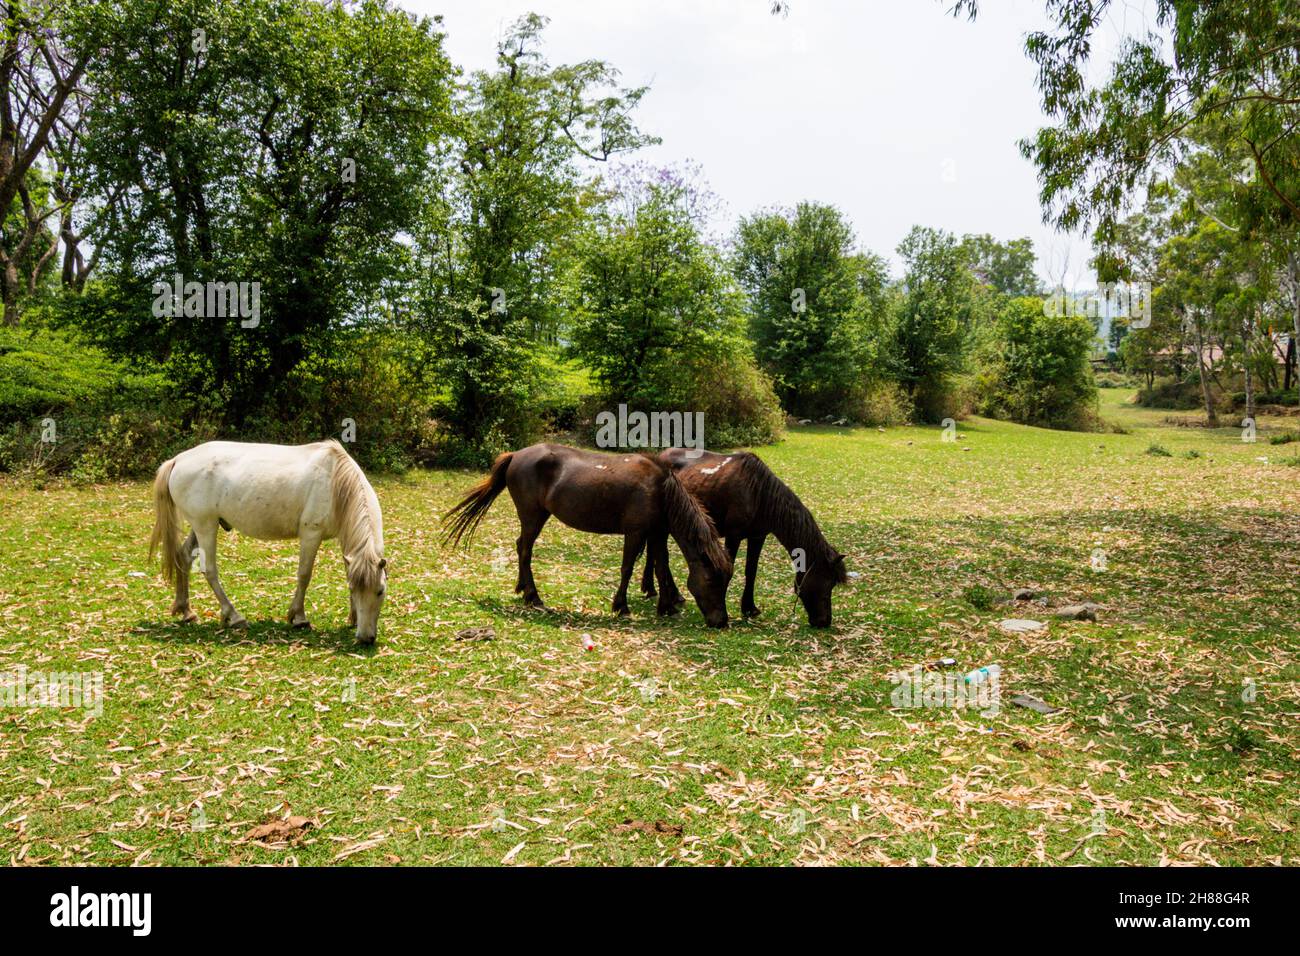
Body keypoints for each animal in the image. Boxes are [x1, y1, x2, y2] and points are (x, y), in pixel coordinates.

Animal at [148, 440, 387, 643]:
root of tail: (178, 460)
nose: (365, 638)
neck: (336, 481)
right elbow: (304, 575)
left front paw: (352, 617)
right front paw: (298, 617)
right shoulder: (311, 534)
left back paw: (186, 611)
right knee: (209, 570)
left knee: (183, 557)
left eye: (380, 591)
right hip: (205, 526)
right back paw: (234, 616)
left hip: (200, 527)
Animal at [442, 443, 734, 628]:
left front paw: (666, 607)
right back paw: (533, 597)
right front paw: (621, 606)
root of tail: (516, 455)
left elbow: (661, 568)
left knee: (520, 547)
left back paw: (522, 588)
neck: (660, 488)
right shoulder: (636, 533)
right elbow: (627, 568)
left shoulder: (657, 534)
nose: (721, 622)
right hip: (532, 516)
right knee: (525, 550)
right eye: (712, 580)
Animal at [640, 448, 847, 628]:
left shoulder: (757, 537)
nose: (824, 621)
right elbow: (729, 567)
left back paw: (654, 589)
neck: (759, 494)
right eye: (827, 583)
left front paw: (749, 608)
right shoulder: (734, 536)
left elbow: (751, 571)